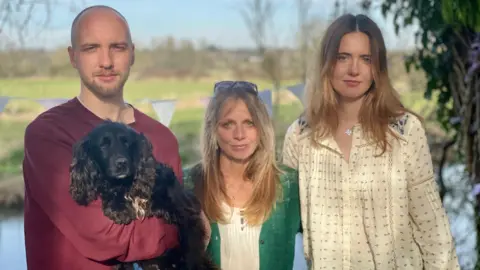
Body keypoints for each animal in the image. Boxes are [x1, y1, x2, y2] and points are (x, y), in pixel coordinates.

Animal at [68, 121, 217, 270]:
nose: (122, 163)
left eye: (126, 143)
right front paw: (118, 207)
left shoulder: (186, 210)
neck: (127, 185)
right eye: (103, 145)